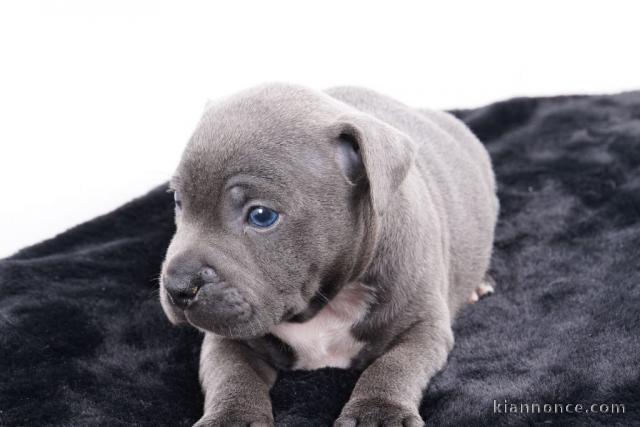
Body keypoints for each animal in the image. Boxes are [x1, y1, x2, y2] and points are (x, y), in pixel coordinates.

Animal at [158, 83, 498, 427]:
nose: (178, 286)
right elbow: (232, 375)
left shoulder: (423, 326)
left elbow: (394, 364)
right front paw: (231, 417)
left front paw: (378, 412)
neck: (324, 304)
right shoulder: (226, 337)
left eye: (262, 216)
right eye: (178, 201)